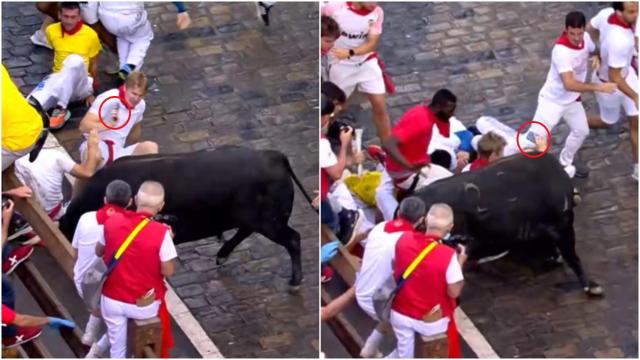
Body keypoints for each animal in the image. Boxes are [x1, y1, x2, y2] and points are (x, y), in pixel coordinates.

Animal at [61, 146, 316, 290]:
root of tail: (276, 156)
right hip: (258, 219)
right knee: (247, 231)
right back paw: (222, 255)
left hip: (270, 221)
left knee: (293, 239)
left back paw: (295, 281)